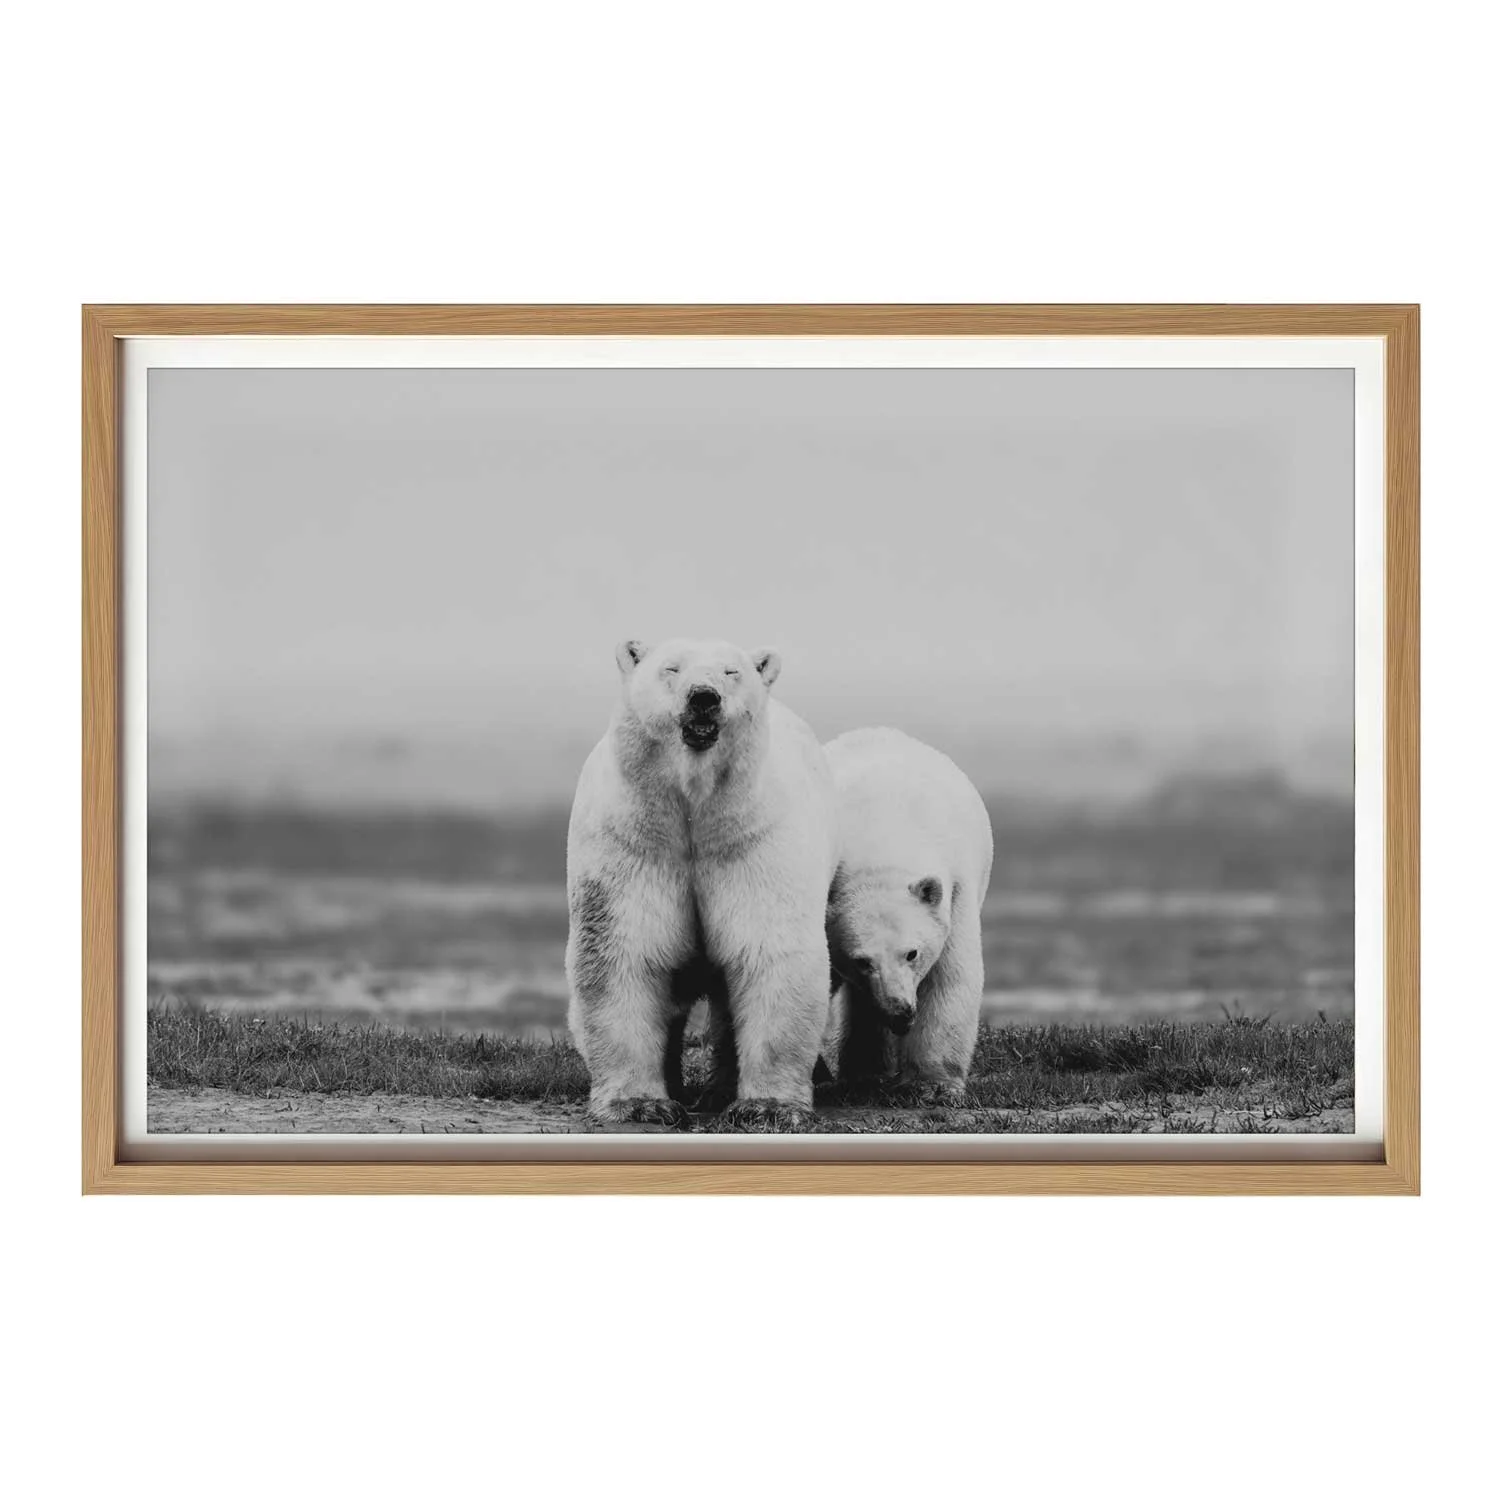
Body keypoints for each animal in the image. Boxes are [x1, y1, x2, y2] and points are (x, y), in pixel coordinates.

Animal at [565, 637, 840, 1128]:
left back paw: (719, 1090)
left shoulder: (752, 841)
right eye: (671, 669)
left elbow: (768, 952)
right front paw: (640, 1104)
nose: (704, 698)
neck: (694, 812)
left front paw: (766, 1106)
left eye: (732, 672)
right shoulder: (633, 841)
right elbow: (624, 952)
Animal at [820, 727, 994, 1102]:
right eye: (861, 961)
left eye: (912, 953)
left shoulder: (955, 889)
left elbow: (948, 977)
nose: (899, 1012)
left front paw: (932, 1084)